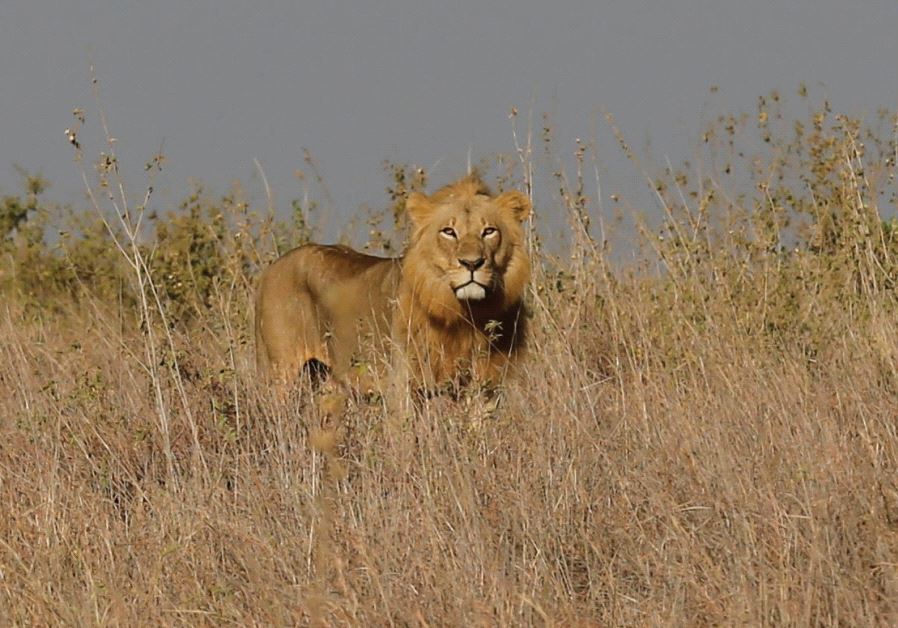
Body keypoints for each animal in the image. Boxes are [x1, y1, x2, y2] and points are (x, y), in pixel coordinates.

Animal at [254, 175, 531, 397]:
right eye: (449, 231)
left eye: (489, 231)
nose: (472, 263)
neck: (468, 313)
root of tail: (273, 266)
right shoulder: (403, 383)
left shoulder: (487, 385)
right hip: (282, 372)